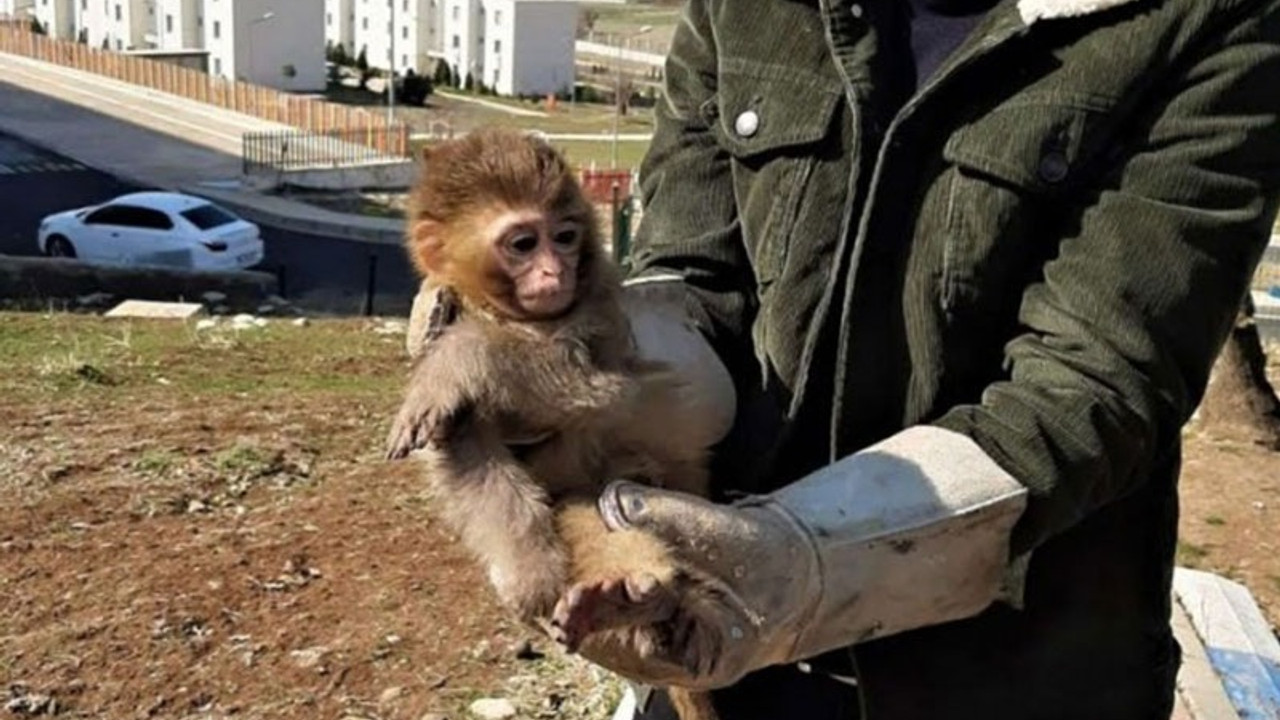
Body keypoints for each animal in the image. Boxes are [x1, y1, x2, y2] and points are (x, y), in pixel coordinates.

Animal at [381, 128, 732, 717]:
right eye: (524, 244)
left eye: (565, 236)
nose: (556, 271)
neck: (505, 313)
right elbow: (468, 457)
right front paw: (531, 572)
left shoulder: (598, 314)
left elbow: (593, 386)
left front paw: (456, 361)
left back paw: (641, 598)